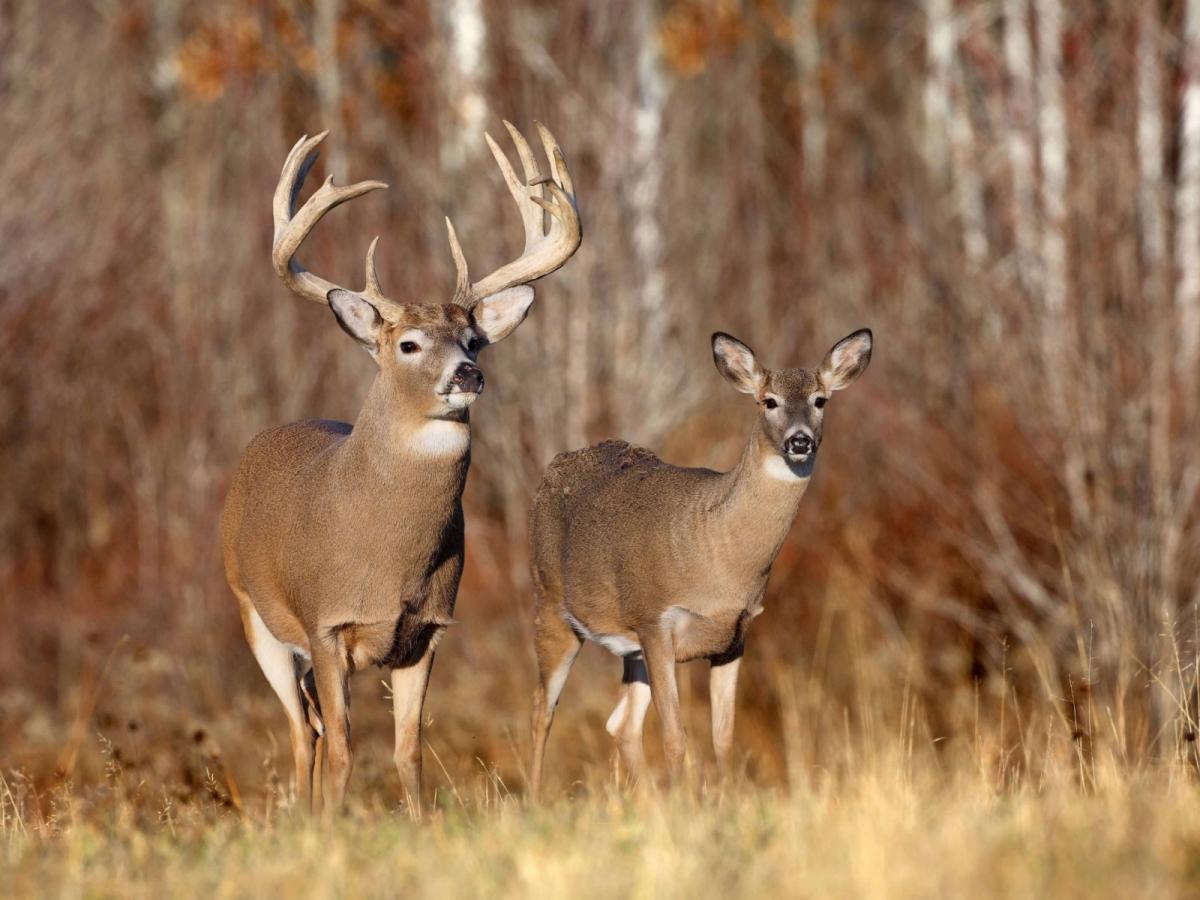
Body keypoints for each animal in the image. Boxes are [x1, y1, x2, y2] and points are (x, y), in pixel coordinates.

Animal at [221, 122, 581, 814]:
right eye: (409, 345)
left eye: (474, 340)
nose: (467, 375)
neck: (388, 560)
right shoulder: (326, 623)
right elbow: (343, 748)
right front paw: (333, 825)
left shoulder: (428, 630)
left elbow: (408, 750)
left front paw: (416, 824)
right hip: (255, 615)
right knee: (301, 732)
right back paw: (303, 817)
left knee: (307, 725)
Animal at [527, 328, 872, 798]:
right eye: (768, 401)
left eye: (820, 400)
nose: (799, 440)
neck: (718, 556)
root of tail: (552, 468)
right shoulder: (655, 620)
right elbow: (676, 737)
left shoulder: (734, 637)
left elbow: (722, 737)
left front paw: (724, 801)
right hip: (551, 604)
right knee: (542, 709)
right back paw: (532, 799)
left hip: (629, 648)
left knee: (621, 723)